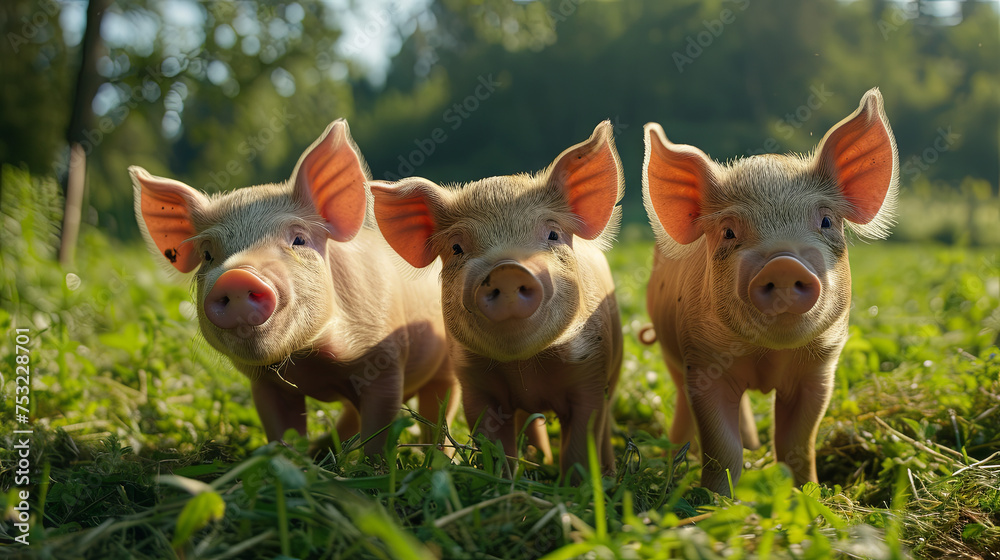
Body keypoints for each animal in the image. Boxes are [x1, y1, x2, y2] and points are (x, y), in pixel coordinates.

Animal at [130, 119, 460, 457]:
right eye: (208, 254)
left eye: (298, 239)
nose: (236, 277)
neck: (310, 364)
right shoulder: (265, 383)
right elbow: (281, 430)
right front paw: (290, 460)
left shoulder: (386, 361)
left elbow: (378, 430)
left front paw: (372, 465)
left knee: (441, 407)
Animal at [369, 121, 624, 476]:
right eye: (456, 248)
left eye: (553, 234)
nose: (507, 269)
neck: (525, 365)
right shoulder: (475, 384)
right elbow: (494, 443)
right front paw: (505, 478)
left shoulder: (590, 374)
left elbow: (581, 442)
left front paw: (578, 484)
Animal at [641, 88, 898, 495]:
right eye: (729, 231)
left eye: (826, 221)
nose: (784, 263)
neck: (768, 356)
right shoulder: (702, 363)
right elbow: (721, 446)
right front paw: (716, 500)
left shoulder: (819, 370)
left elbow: (798, 441)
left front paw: (808, 494)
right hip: (669, 351)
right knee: (682, 397)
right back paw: (676, 453)